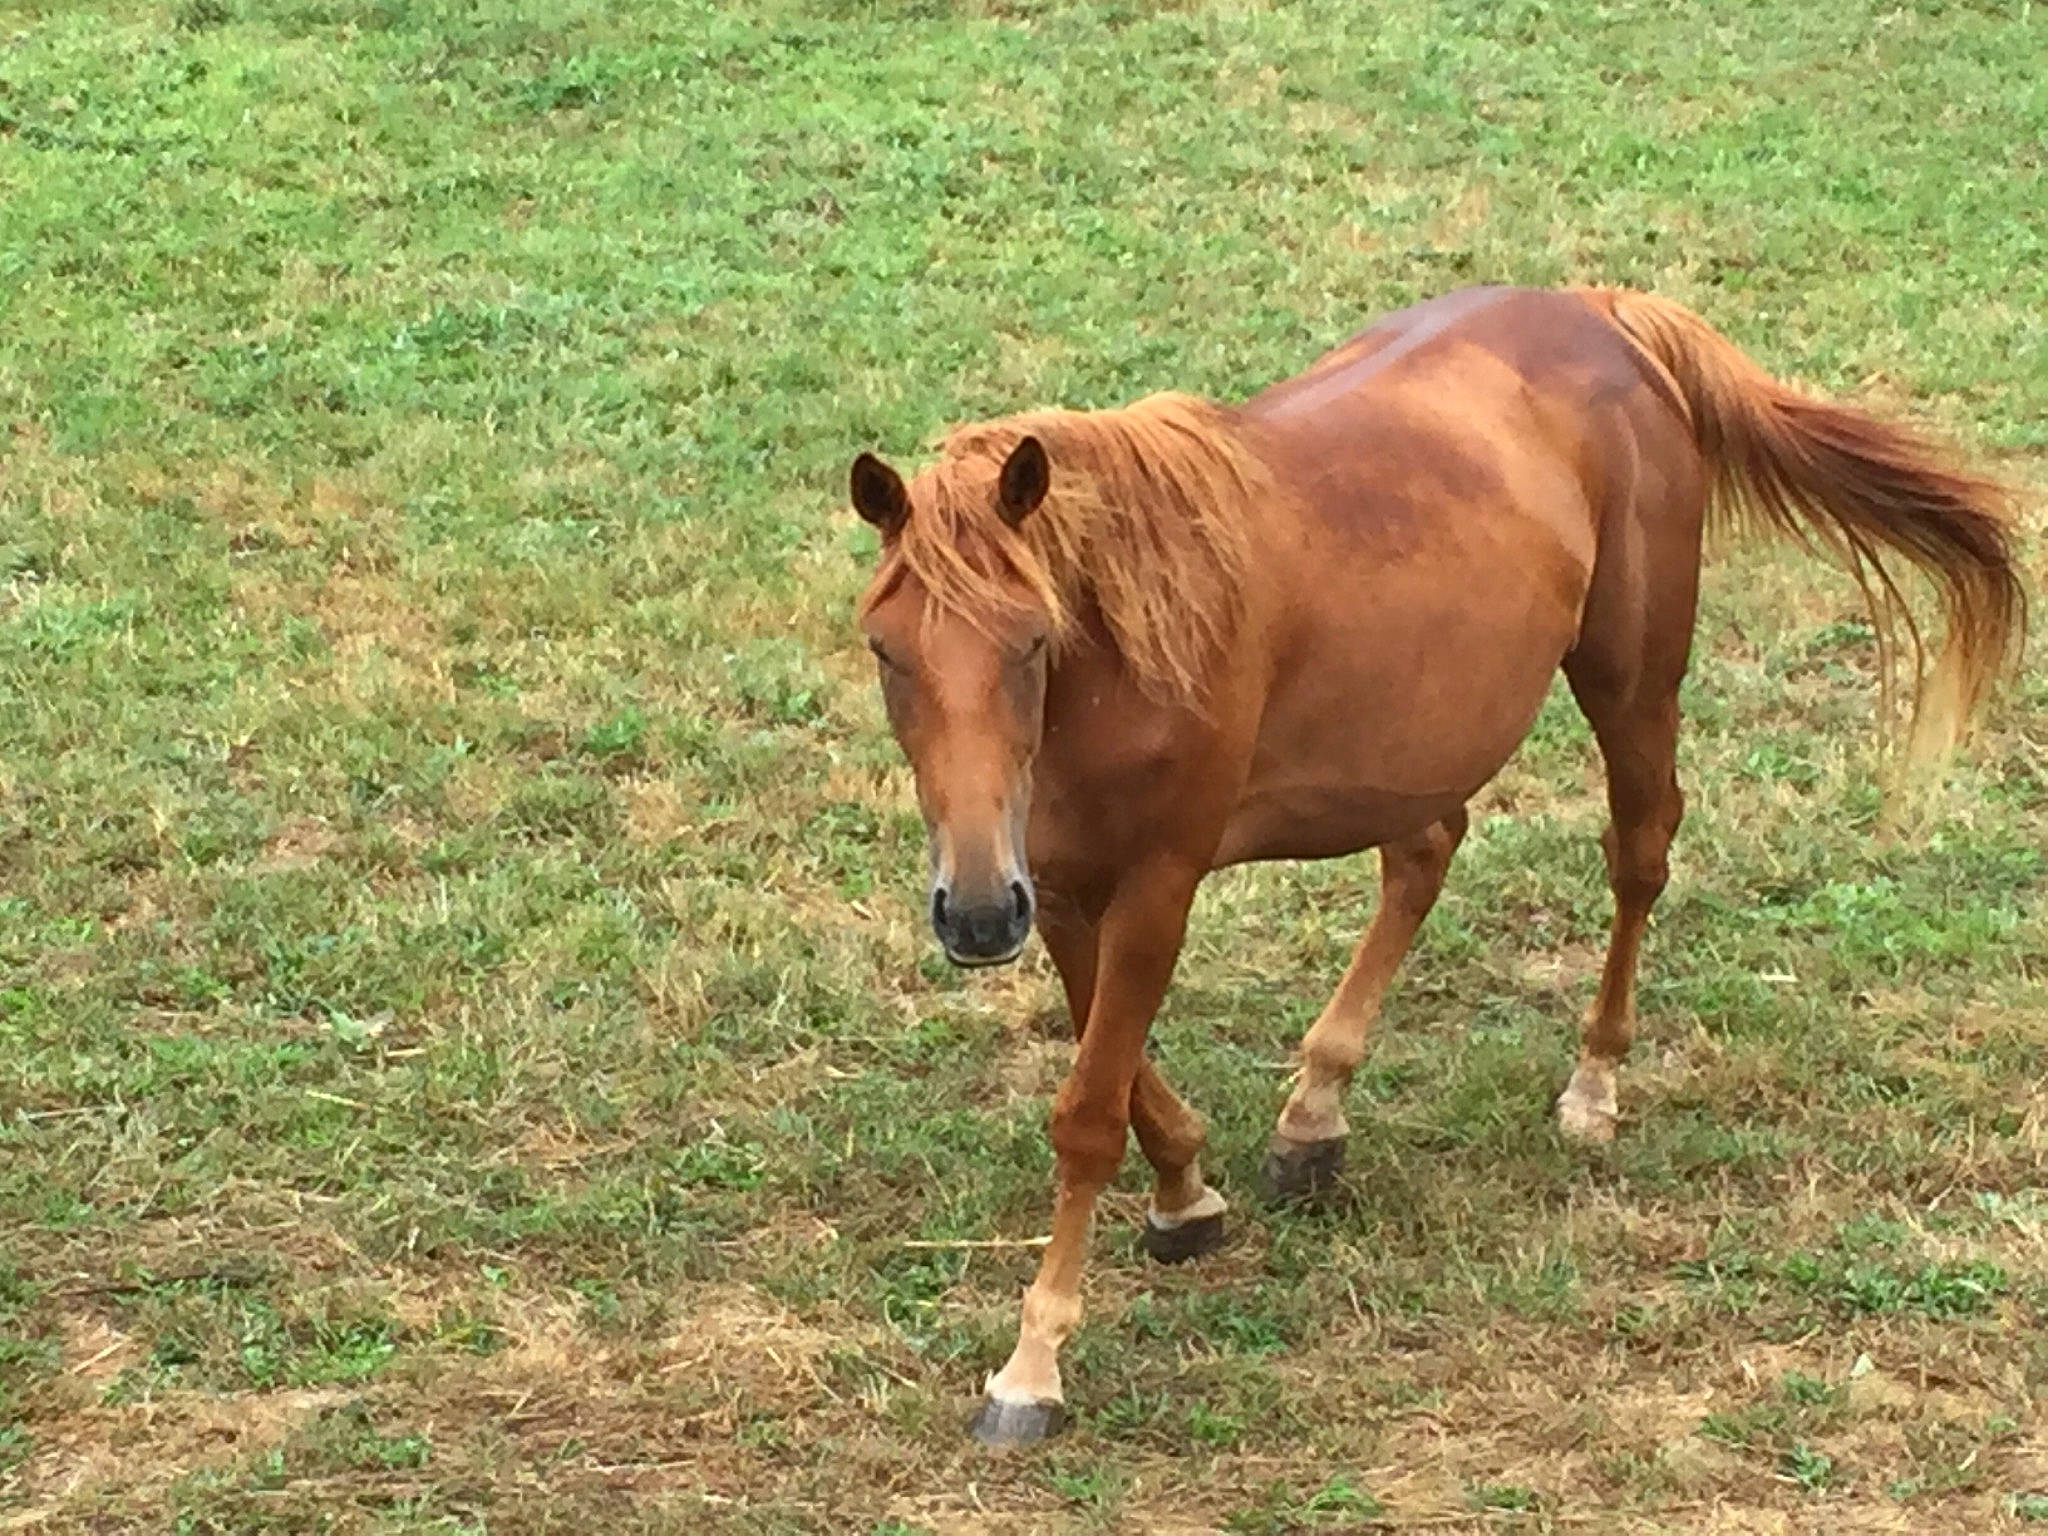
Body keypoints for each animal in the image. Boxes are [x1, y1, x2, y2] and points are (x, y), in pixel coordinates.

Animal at [847, 284, 2025, 1447]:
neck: (1122, 655)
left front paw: (1032, 1365)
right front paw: (1187, 1190)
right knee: (1425, 851)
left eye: (1031, 639)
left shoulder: (1154, 886)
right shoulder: (1054, 889)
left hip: (1631, 680)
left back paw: (1592, 1084)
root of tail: (1605, 312)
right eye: (885, 650)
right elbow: (1122, 1071)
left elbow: (1089, 1112)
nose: (971, 919)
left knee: (1638, 853)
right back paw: (1314, 1115)